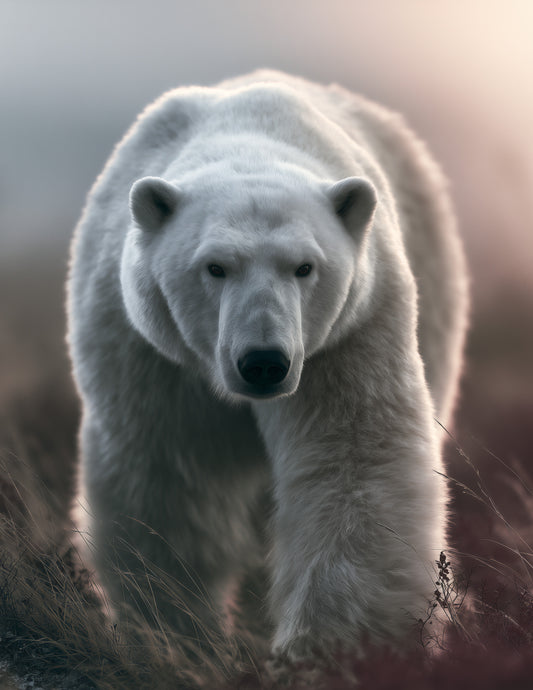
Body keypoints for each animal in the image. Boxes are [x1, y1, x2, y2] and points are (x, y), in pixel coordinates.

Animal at [67, 69, 468, 659]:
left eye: (305, 267)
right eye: (215, 267)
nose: (263, 362)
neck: (248, 137)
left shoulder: (346, 335)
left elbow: (353, 463)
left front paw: (333, 648)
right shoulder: (146, 348)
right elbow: (166, 476)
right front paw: (175, 630)